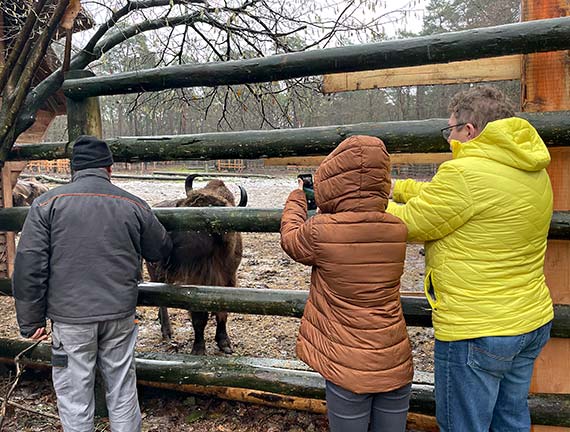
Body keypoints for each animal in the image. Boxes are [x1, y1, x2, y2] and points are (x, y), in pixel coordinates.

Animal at [145, 174, 245, 356]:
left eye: (200, 223)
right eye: (181, 207)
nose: (162, 240)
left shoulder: (229, 279)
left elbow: (222, 313)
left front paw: (225, 343)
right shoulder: (196, 282)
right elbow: (199, 318)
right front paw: (198, 349)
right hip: (156, 275)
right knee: (162, 301)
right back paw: (167, 332)